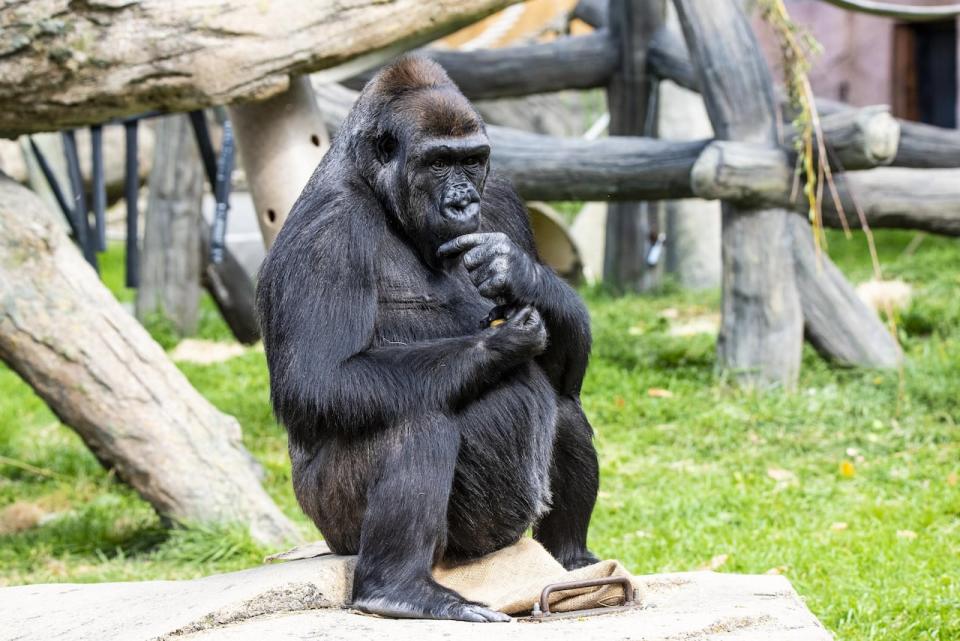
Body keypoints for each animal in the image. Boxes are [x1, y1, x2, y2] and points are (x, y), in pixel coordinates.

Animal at [255, 57, 600, 624]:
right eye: (438, 163)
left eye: (472, 161)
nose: (463, 203)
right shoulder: (328, 231)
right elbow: (320, 380)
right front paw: (500, 348)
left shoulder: (502, 195)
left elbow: (567, 367)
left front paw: (515, 271)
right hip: (332, 524)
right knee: (413, 415)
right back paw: (396, 589)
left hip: (494, 540)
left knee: (565, 403)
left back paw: (571, 561)